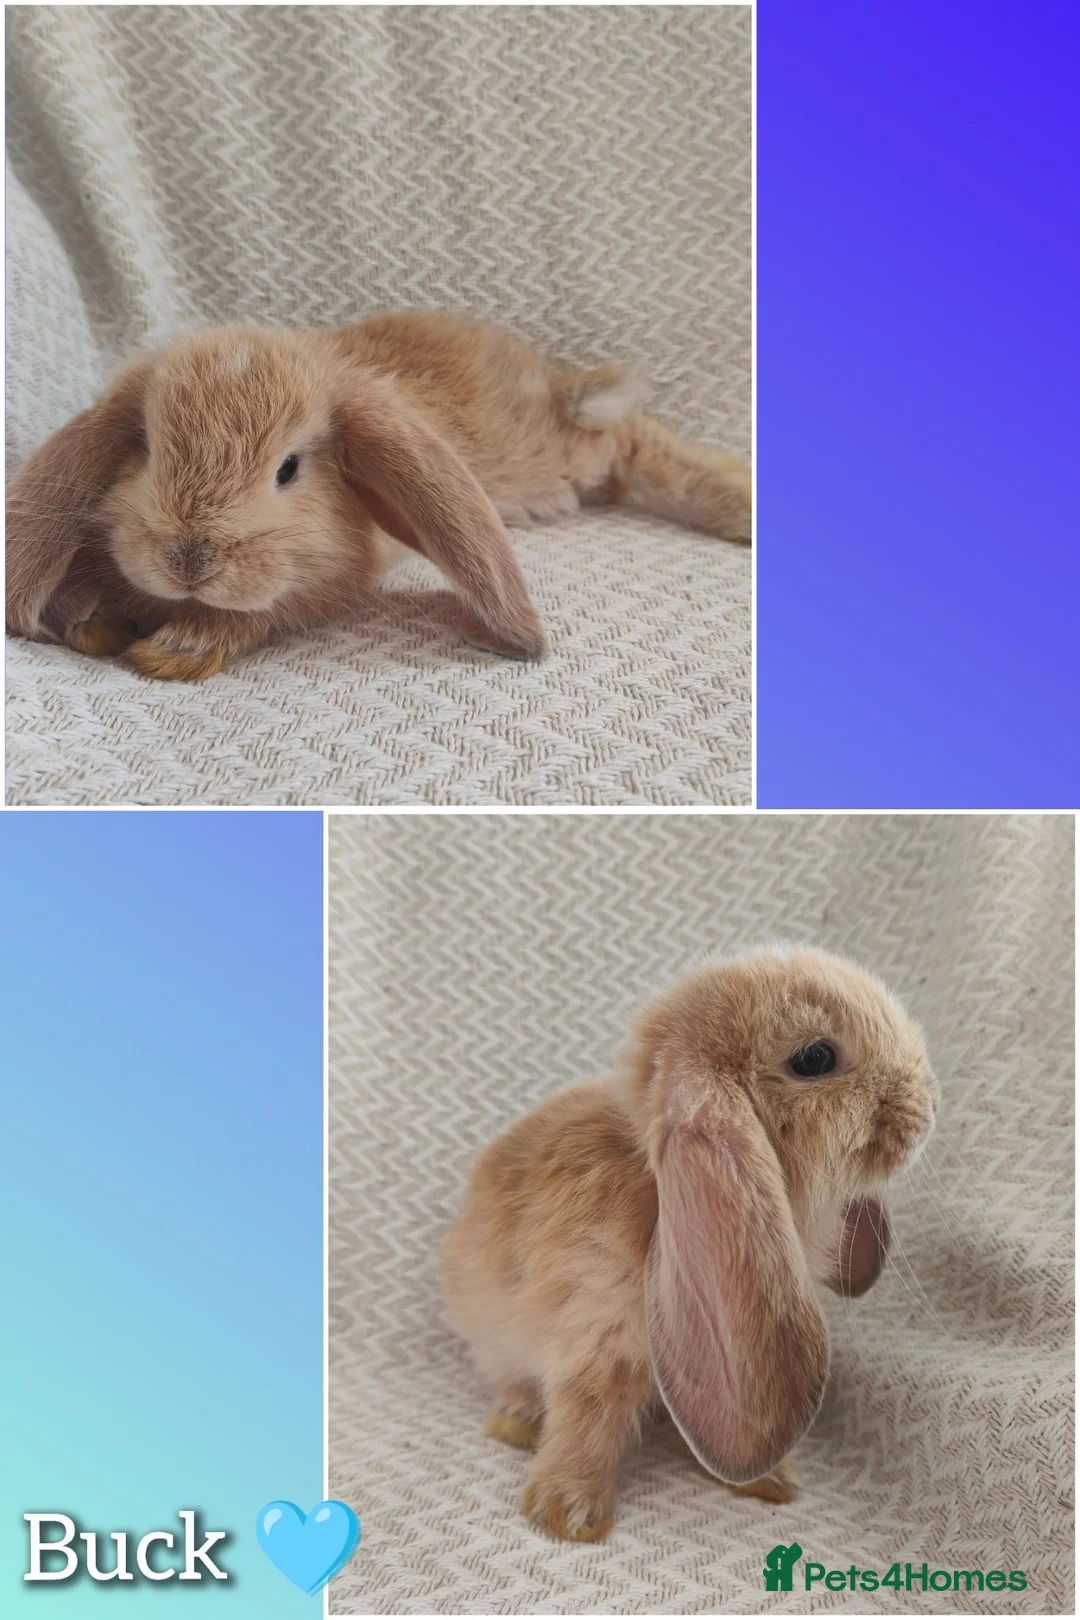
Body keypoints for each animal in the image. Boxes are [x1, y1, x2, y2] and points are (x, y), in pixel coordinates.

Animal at [5, 310, 751, 680]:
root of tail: (552, 379)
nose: (189, 560)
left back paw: (739, 508)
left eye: (288, 469)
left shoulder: (328, 580)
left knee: (631, 437)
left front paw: (172, 652)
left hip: (553, 457)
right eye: (150, 450)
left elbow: (257, 616)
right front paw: (93, 622)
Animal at [443, 946, 936, 1543]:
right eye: (815, 1057)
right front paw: (568, 1513)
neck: (656, 1193)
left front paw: (773, 1483)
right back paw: (514, 1423)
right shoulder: (597, 1335)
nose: (929, 1106)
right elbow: (587, 1417)